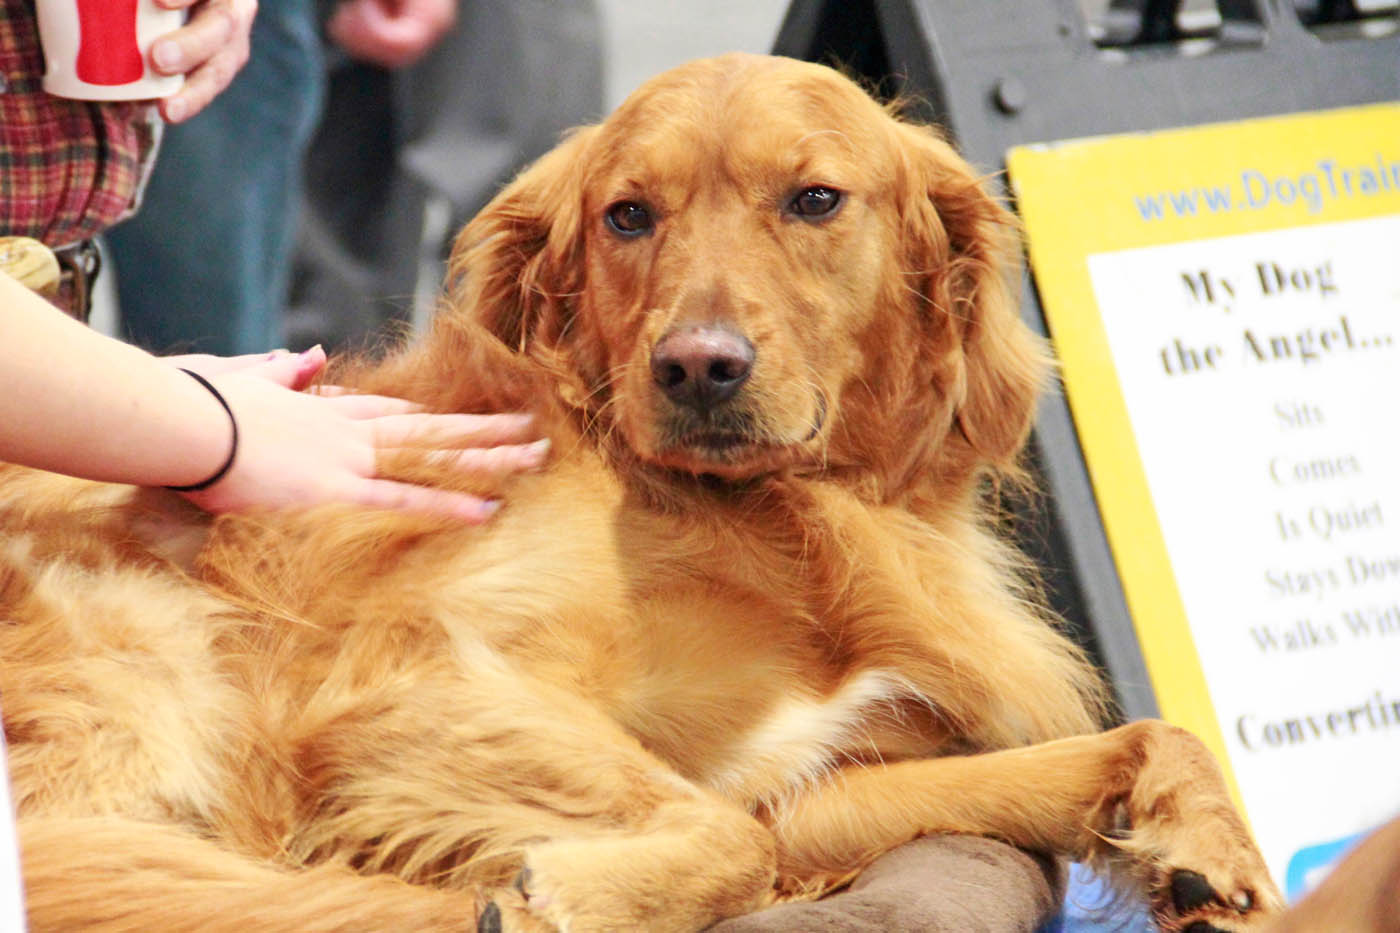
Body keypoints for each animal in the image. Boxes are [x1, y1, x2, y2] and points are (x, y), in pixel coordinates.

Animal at [0, 54, 1282, 924]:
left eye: (814, 199)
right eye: (628, 215)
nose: (698, 368)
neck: (780, 517)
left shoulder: (814, 781)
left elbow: (1145, 736)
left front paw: (1210, 855)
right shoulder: (409, 683)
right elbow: (725, 841)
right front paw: (556, 899)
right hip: (155, 659)